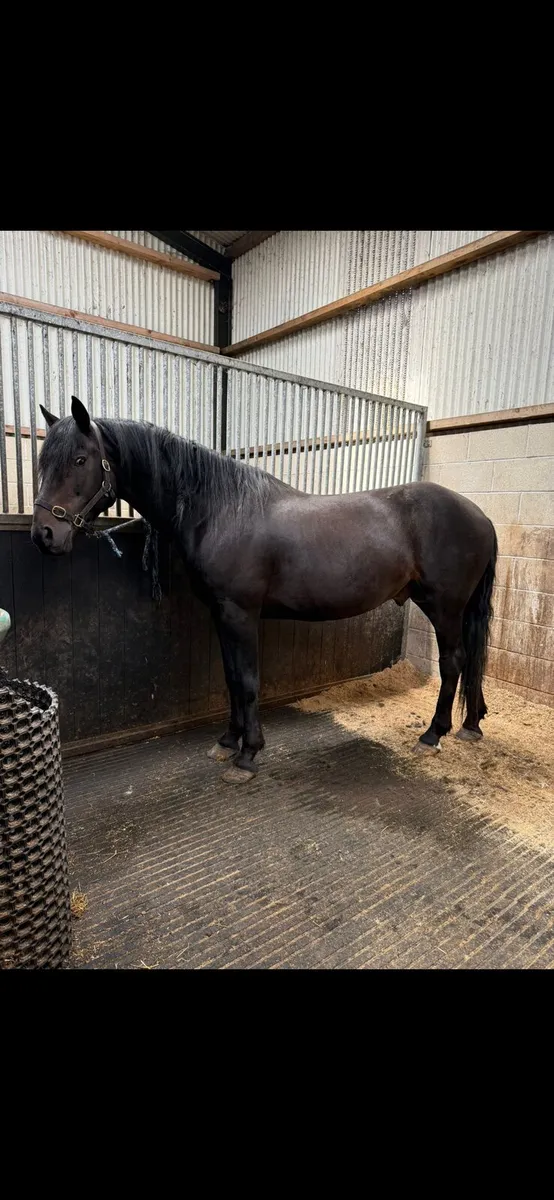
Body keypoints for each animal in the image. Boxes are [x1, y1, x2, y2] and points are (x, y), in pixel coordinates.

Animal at [31, 396, 497, 784]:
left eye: (79, 459)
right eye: (42, 462)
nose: (44, 535)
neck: (219, 510)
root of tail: (481, 516)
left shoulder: (240, 613)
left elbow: (248, 680)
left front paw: (248, 755)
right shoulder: (221, 613)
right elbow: (231, 678)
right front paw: (227, 742)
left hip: (444, 607)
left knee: (454, 662)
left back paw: (433, 734)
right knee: (469, 662)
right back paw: (471, 725)